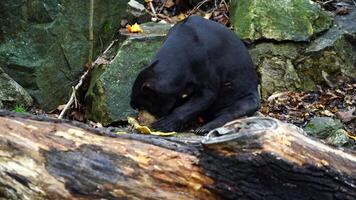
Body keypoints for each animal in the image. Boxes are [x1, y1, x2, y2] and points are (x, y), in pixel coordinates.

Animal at [130, 16, 258, 134]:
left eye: (142, 106)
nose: (139, 120)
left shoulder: (205, 64)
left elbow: (206, 95)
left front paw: (162, 124)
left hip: (245, 96)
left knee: (235, 110)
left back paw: (204, 128)